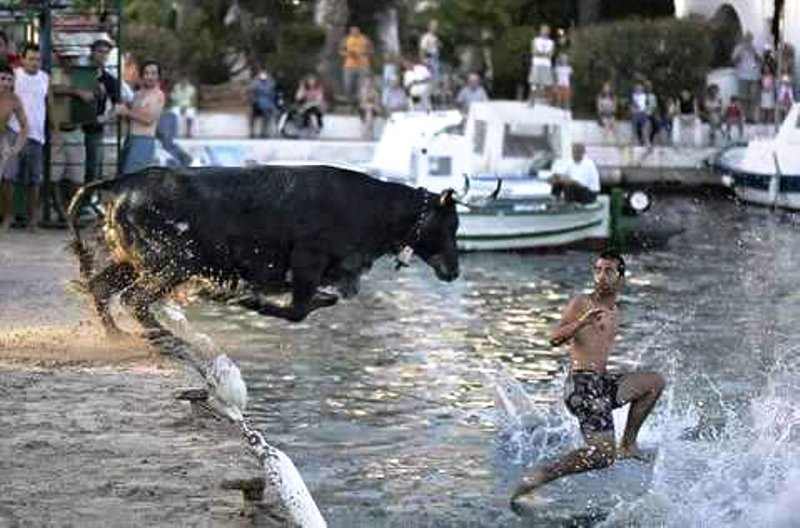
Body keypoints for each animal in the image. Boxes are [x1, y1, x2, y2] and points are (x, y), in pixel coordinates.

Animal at [67, 165, 462, 338]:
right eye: (451, 226)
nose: (455, 271)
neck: (374, 208)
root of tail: (121, 182)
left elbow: (321, 300)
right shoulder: (307, 261)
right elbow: (298, 310)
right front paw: (244, 300)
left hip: (133, 261)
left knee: (102, 287)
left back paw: (116, 334)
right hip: (177, 260)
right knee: (135, 297)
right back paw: (162, 333)